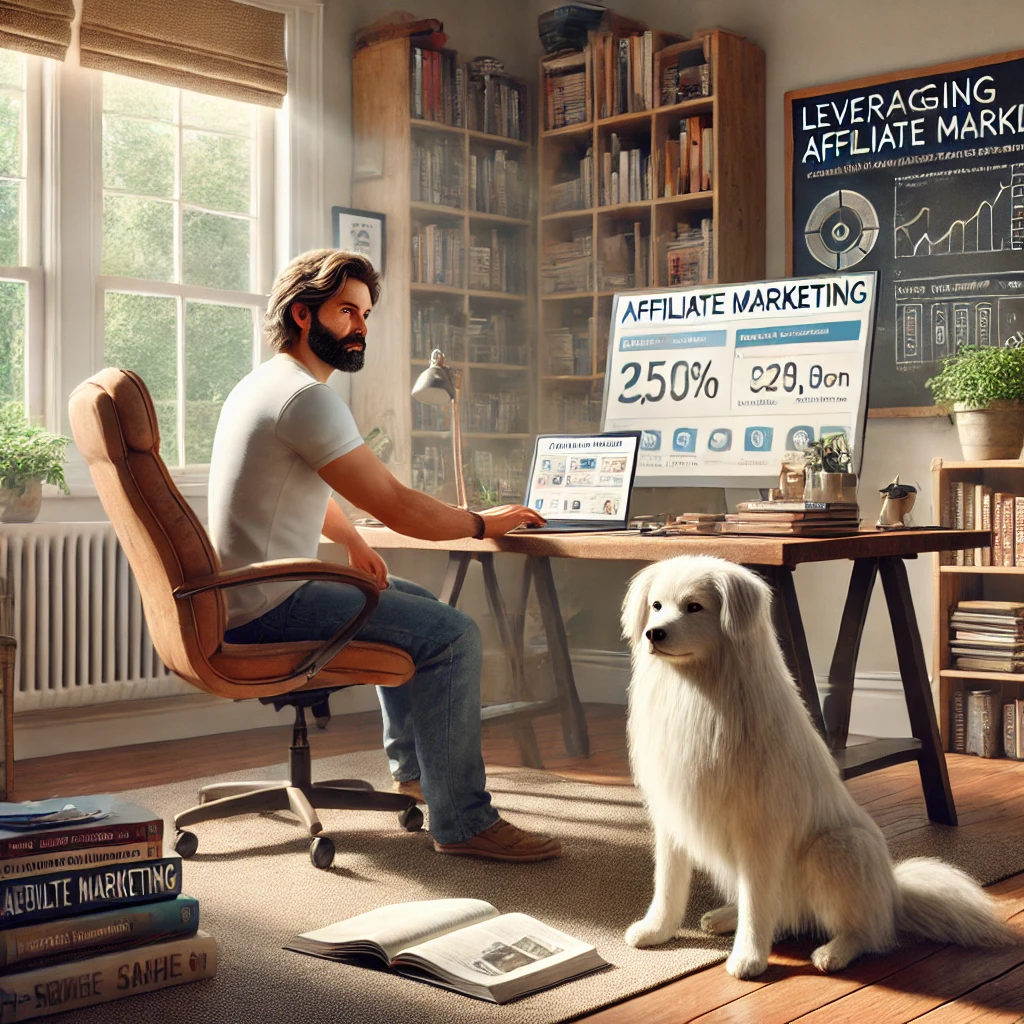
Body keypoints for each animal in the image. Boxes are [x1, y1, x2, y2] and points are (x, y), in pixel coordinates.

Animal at [618, 552, 1011, 974]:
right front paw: (655, 931)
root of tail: (892, 892)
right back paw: (723, 916)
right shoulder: (672, 816)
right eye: (656, 606)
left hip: (837, 848)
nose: (653, 634)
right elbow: (668, 886)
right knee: (781, 914)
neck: (694, 694)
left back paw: (833, 952)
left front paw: (748, 959)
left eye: (694, 607)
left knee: (864, 931)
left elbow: (757, 900)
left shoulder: (760, 830)